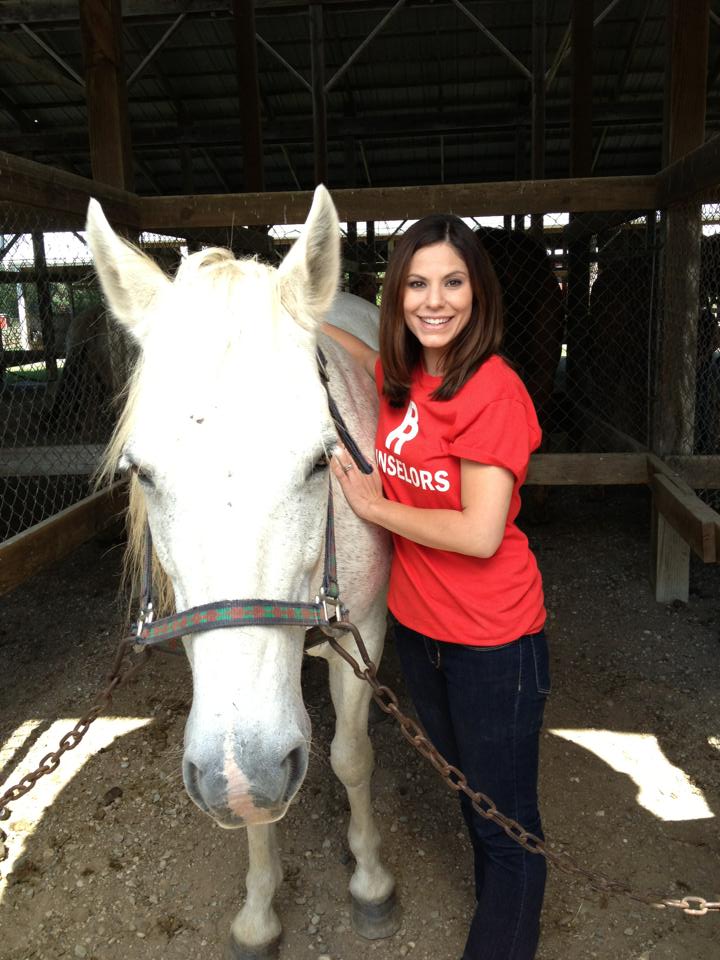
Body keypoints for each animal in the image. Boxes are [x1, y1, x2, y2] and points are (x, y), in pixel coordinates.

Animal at [88, 188, 400, 960]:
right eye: (142, 473)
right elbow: (261, 815)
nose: (242, 774)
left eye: (322, 462)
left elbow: (352, 757)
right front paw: (260, 910)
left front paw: (370, 879)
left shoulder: (365, 630)